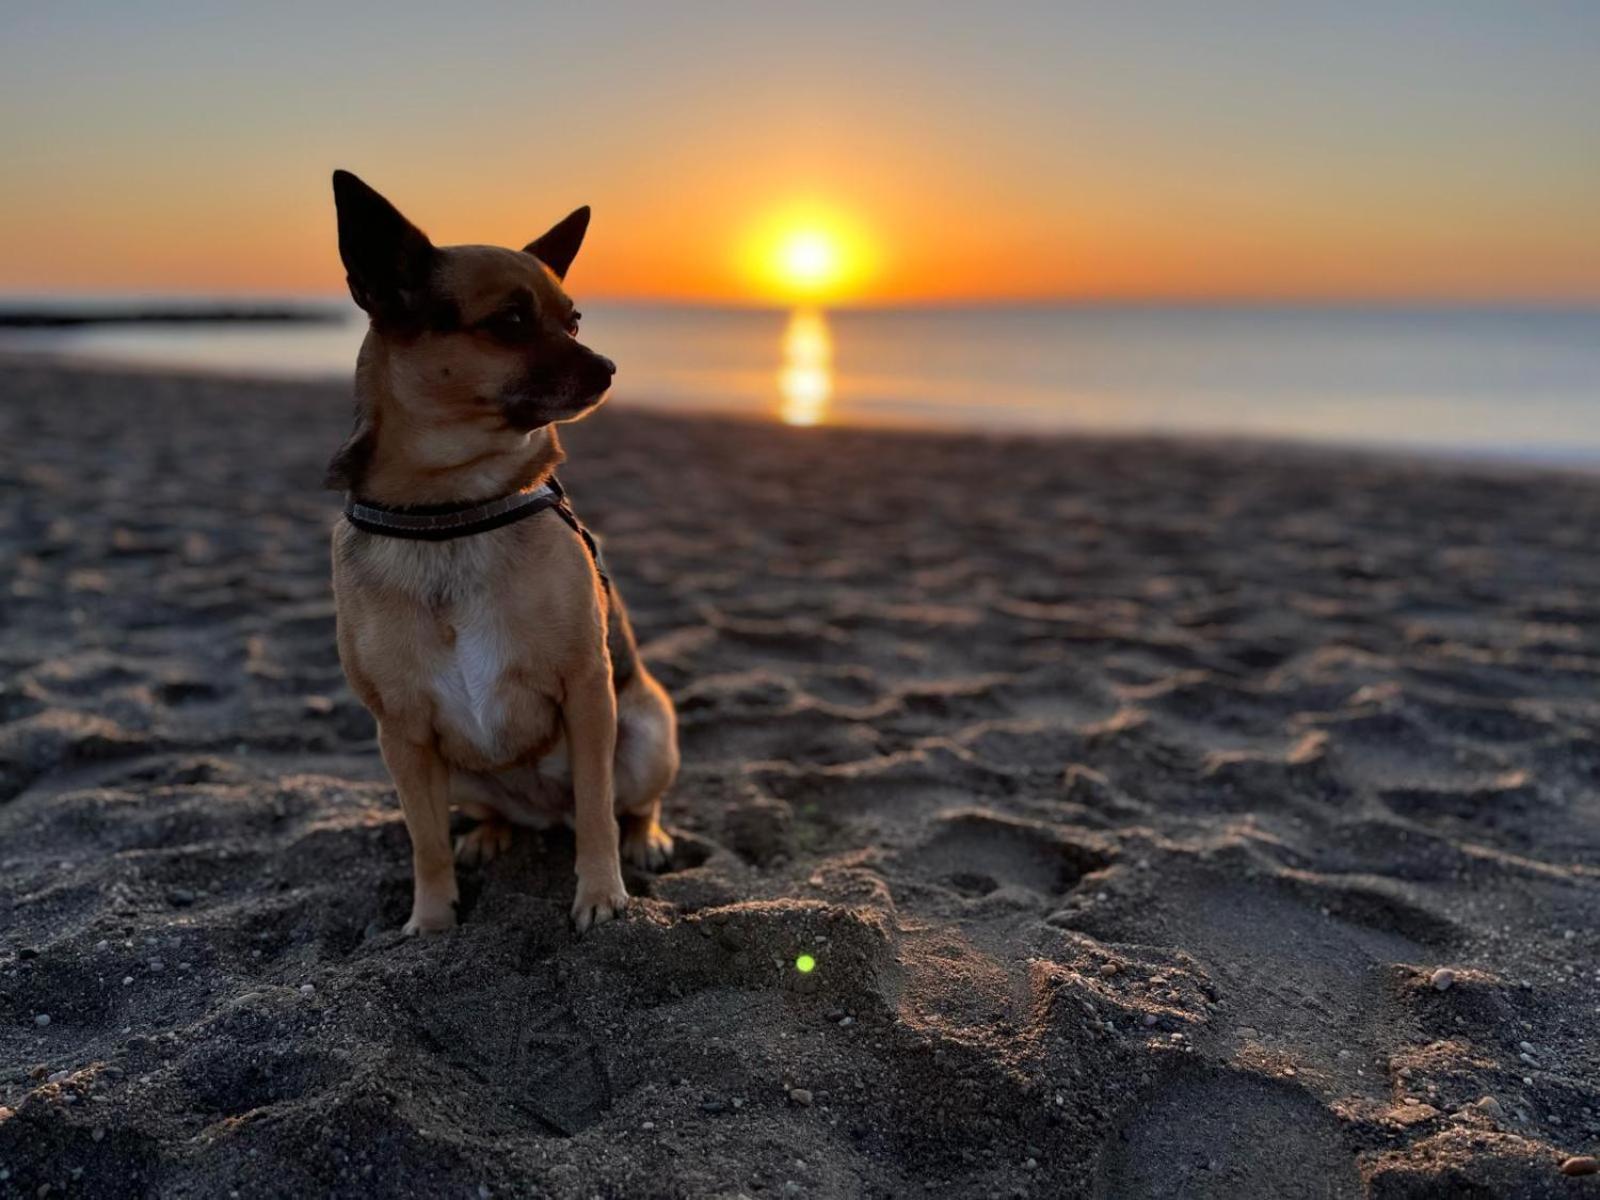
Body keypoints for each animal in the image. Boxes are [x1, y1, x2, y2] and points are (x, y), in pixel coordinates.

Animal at [324, 171, 675, 940]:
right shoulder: (401, 733)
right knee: (486, 815)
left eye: (573, 321)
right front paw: (431, 921)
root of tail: (542, 811)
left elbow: (598, 814)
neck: (453, 510)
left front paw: (602, 895)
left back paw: (648, 839)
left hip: (643, 732)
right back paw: (489, 835)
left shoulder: (588, 691)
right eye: (511, 322)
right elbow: (424, 841)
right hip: (452, 770)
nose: (609, 367)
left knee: (623, 803)